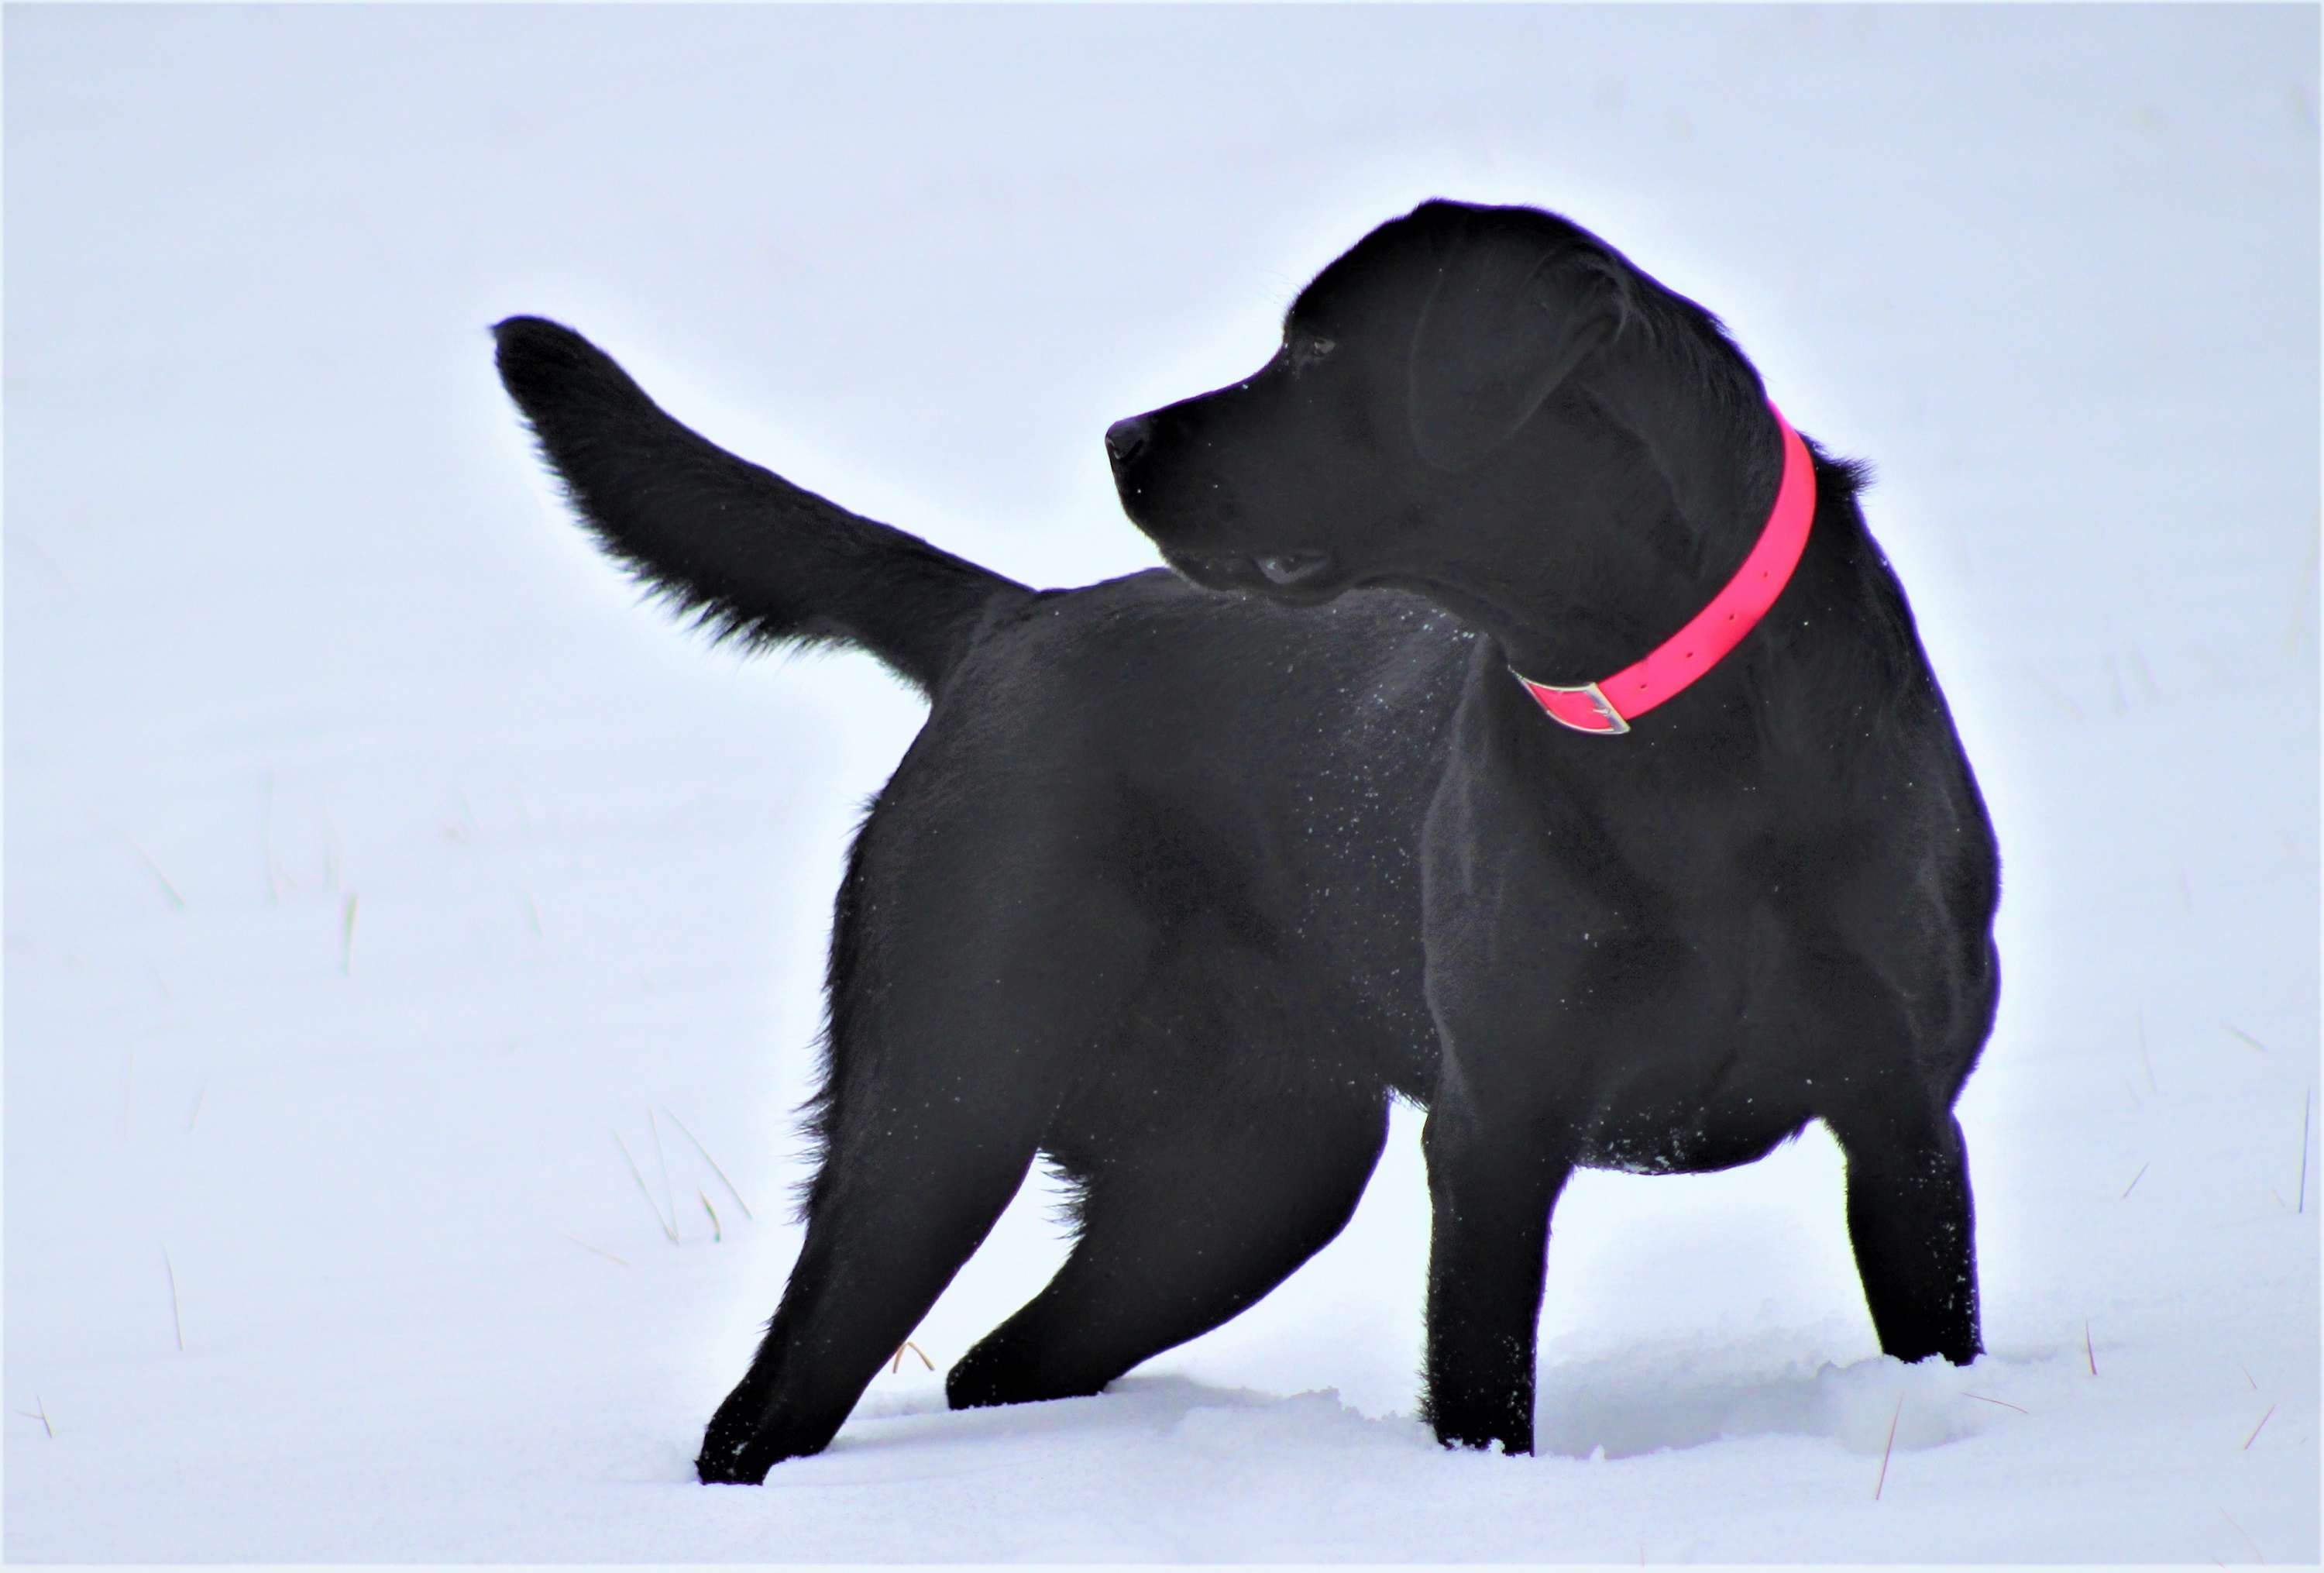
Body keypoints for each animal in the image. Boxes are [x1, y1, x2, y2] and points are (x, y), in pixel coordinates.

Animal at [490, 196, 1999, 1487]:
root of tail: (1015, 618)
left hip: (1239, 1181)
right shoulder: (1497, 1128)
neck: (1682, 734)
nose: (1120, 438)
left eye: (1320, 348)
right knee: (776, 1398)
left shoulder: (1904, 1116)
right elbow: (1480, 1383)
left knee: (998, 1359)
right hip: (944, 1104)